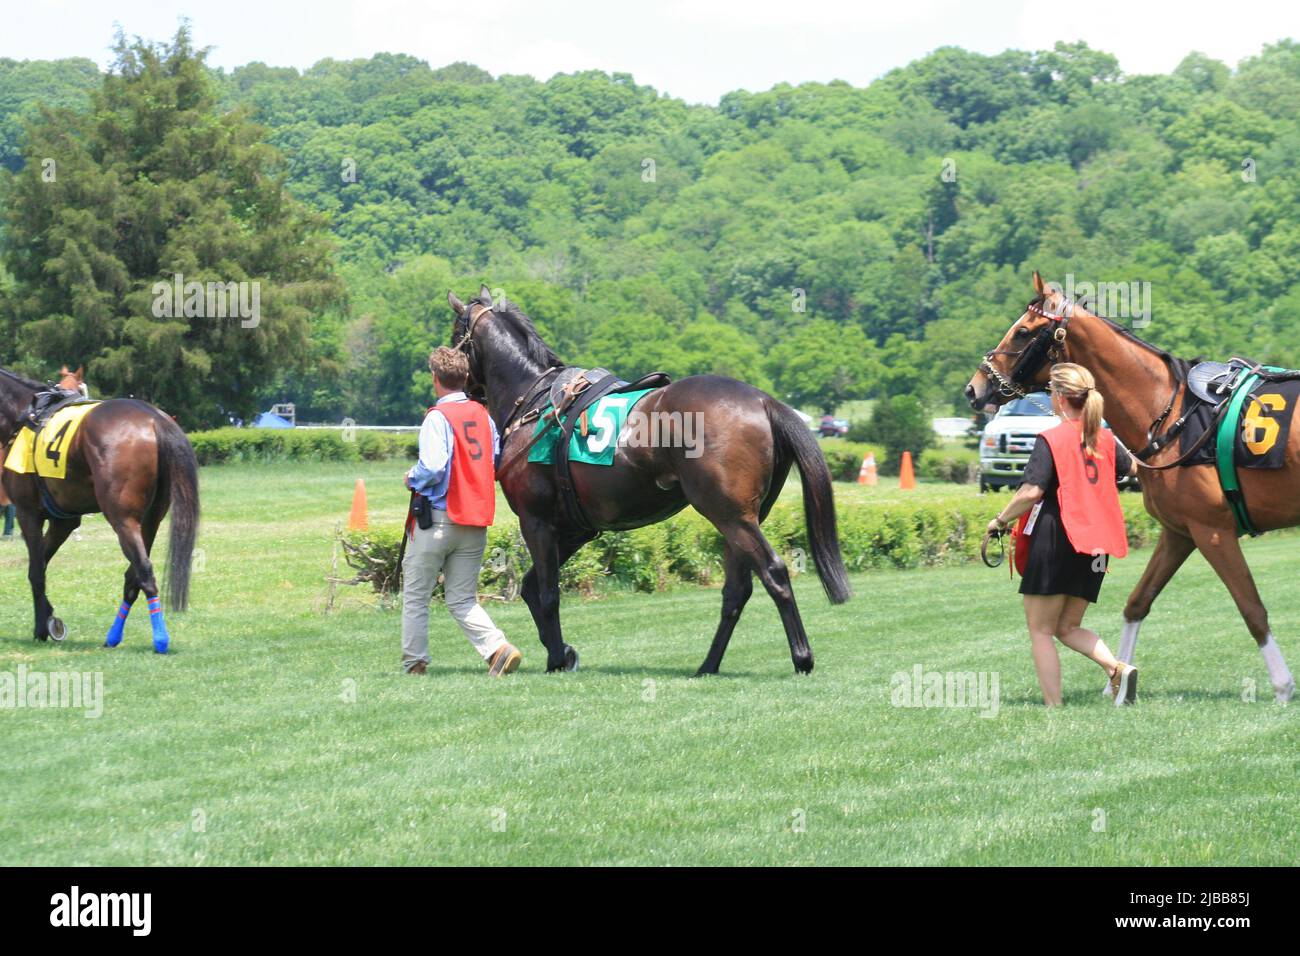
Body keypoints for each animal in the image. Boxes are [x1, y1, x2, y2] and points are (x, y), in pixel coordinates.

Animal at [0, 364, 200, 650]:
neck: (25, 414)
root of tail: (155, 419)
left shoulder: (28, 513)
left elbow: (36, 571)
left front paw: (42, 627)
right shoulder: (64, 521)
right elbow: (41, 563)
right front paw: (50, 618)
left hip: (122, 519)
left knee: (144, 572)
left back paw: (159, 639)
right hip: (150, 520)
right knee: (133, 577)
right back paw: (114, 635)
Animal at [447, 283, 852, 671]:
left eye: (454, 332)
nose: (458, 383)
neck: (536, 403)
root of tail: (763, 401)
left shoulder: (537, 520)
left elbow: (547, 594)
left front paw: (557, 658)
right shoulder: (575, 527)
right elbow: (532, 588)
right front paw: (562, 652)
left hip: (731, 515)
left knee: (774, 572)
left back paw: (801, 656)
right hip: (742, 518)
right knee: (737, 590)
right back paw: (709, 664)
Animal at [972, 274, 1294, 702]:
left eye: (1022, 331)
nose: (974, 387)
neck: (1172, 415)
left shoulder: (1213, 531)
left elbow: (1252, 608)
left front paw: (1283, 686)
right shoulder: (1180, 532)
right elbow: (1137, 602)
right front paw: (1117, 680)